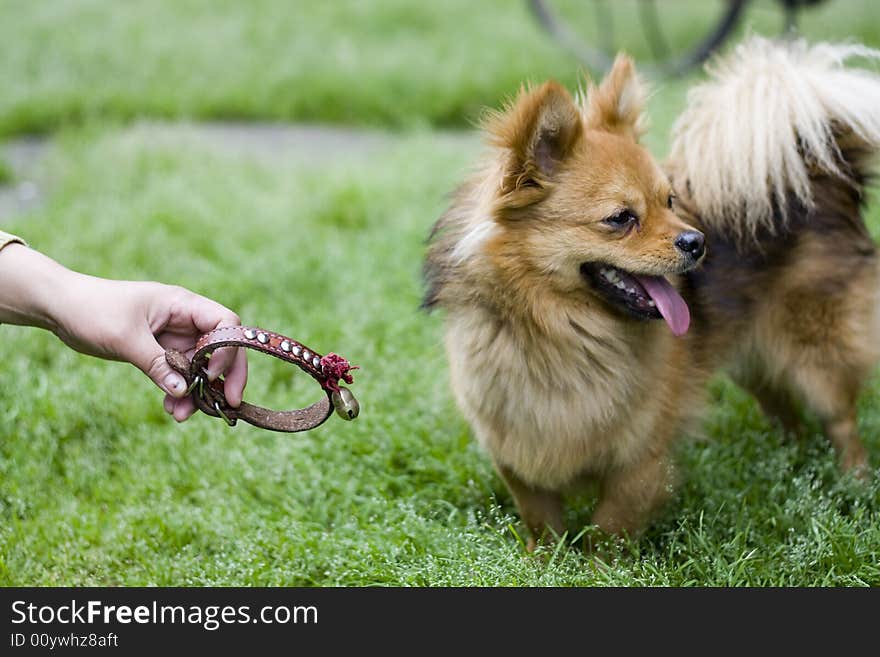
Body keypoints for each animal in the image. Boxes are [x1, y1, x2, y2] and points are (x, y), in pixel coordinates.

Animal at [422, 37, 876, 548]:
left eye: (670, 201)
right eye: (621, 218)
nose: (697, 241)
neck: (561, 332)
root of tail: (817, 169)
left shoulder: (641, 457)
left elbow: (608, 528)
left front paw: (596, 563)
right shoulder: (516, 452)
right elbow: (542, 521)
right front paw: (546, 560)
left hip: (817, 357)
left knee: (840, 421)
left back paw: (854, 484)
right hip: (753, 359)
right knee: (784, 411)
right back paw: (790, 462)